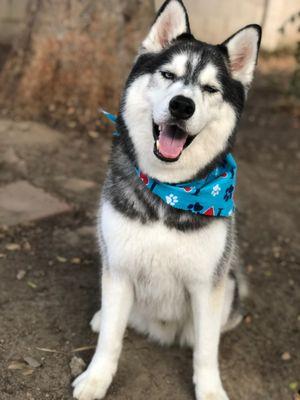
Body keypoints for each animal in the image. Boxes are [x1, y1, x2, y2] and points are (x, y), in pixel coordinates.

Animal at [72, 1, 260, 398]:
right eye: (168, 74)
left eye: (210, 88)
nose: (182, 106)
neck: (170, 191)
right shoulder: (119, 269)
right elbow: (110, 339)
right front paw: (96, 379)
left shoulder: (208, 285)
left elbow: (206, 351)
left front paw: (210, 390)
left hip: (229, 281)